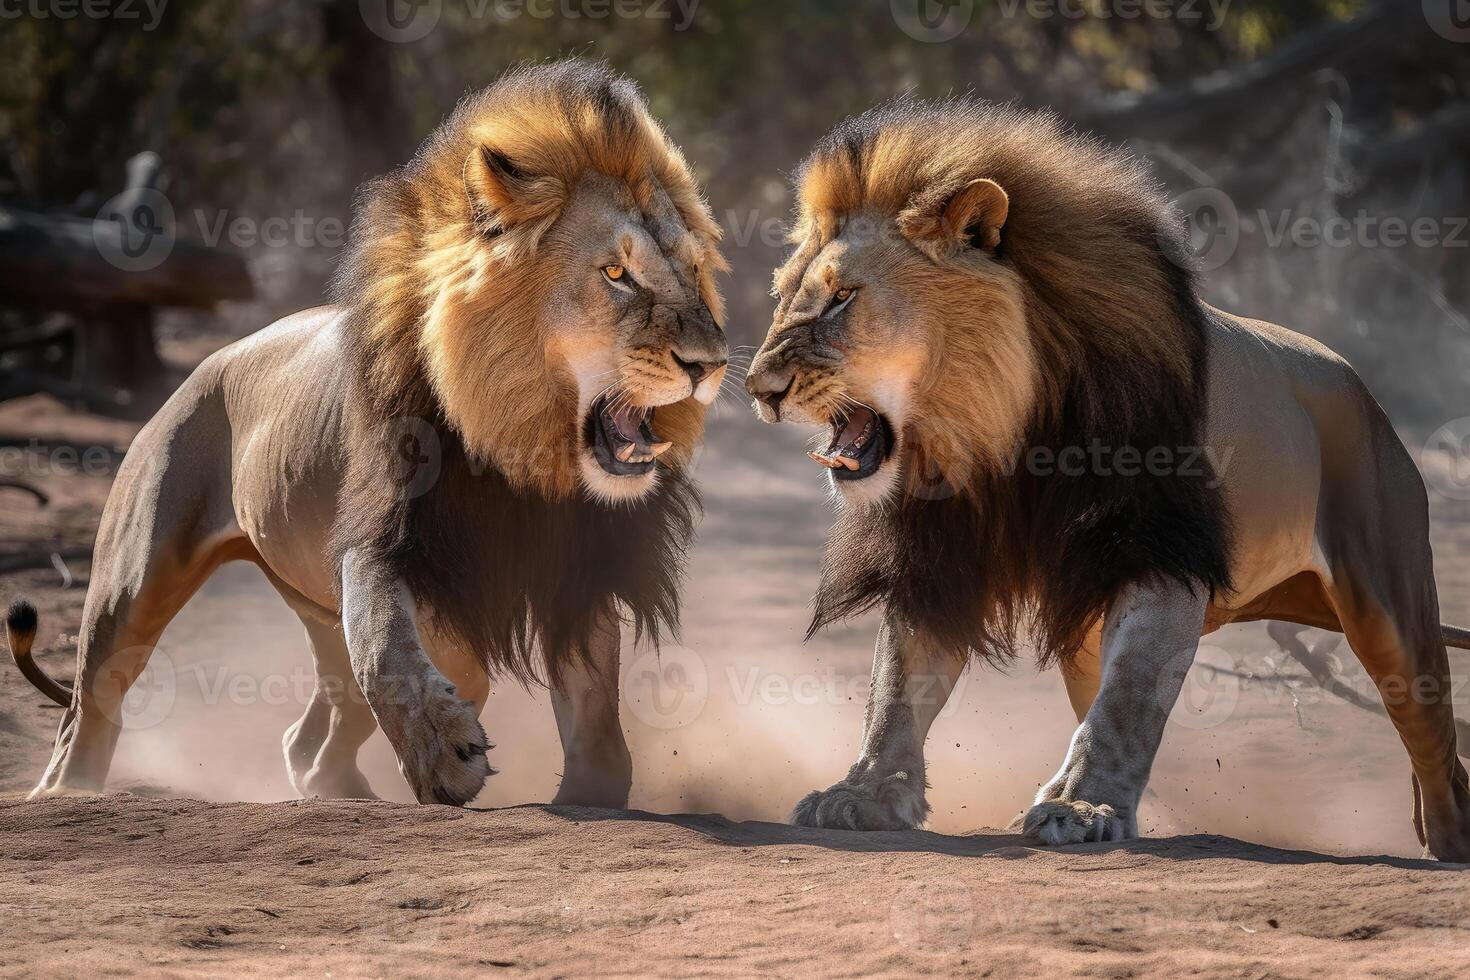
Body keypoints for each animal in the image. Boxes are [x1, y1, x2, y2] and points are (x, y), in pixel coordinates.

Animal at [4, 63, 729, 811]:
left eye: (693, 271)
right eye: (616, 274)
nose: (710, 364)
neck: (524, 453)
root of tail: (206, 366)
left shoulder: (579, 572)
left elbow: (597, 727)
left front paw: (584, 793)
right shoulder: (385, 534)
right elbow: (385, 650)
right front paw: (443, 755)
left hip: (329, 617)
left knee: (310, 740)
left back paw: (343, 791)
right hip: (133, 577)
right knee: (89, 708)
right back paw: (70, 790)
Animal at [746, 99, 1470, 863]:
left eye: (842, 299)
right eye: (784, 297)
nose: (759, 388)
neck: (1001, 434)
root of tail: (1360, 386)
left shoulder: (1156, 551)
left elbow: (1128, 699)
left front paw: (1081, 806)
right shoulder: (936, 556)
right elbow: (896, 686)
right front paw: (864, 792)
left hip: (1388, 604)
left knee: (1431, 739)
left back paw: (1450, 835)